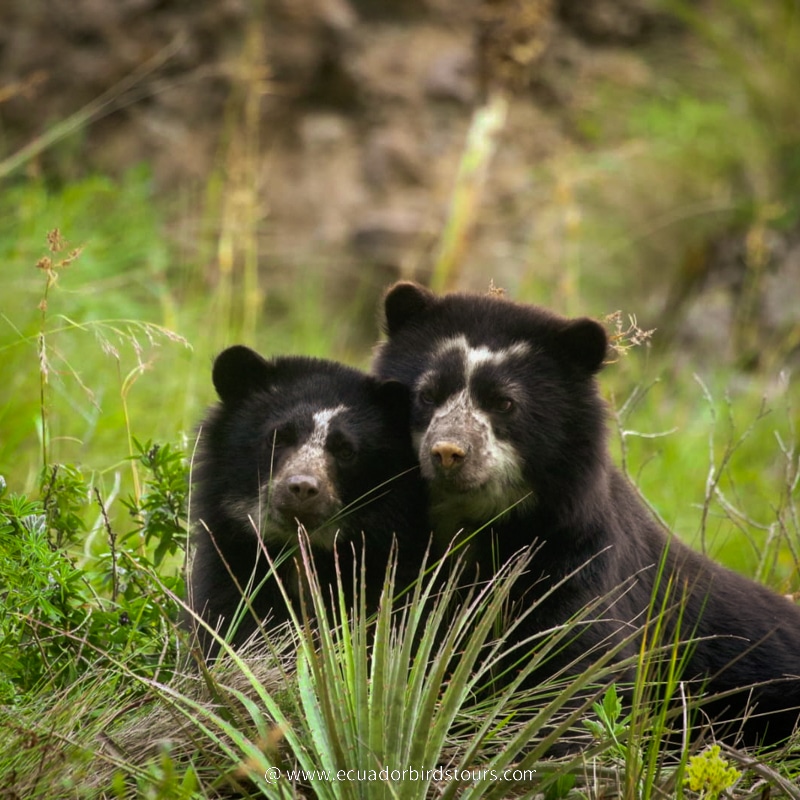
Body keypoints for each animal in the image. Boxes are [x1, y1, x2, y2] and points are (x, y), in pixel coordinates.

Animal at [372, 280, 800, 748]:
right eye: (427, 394)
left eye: (504, 403)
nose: (448, 452)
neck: (472, 523)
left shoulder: (578, 557)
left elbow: (578, 663)